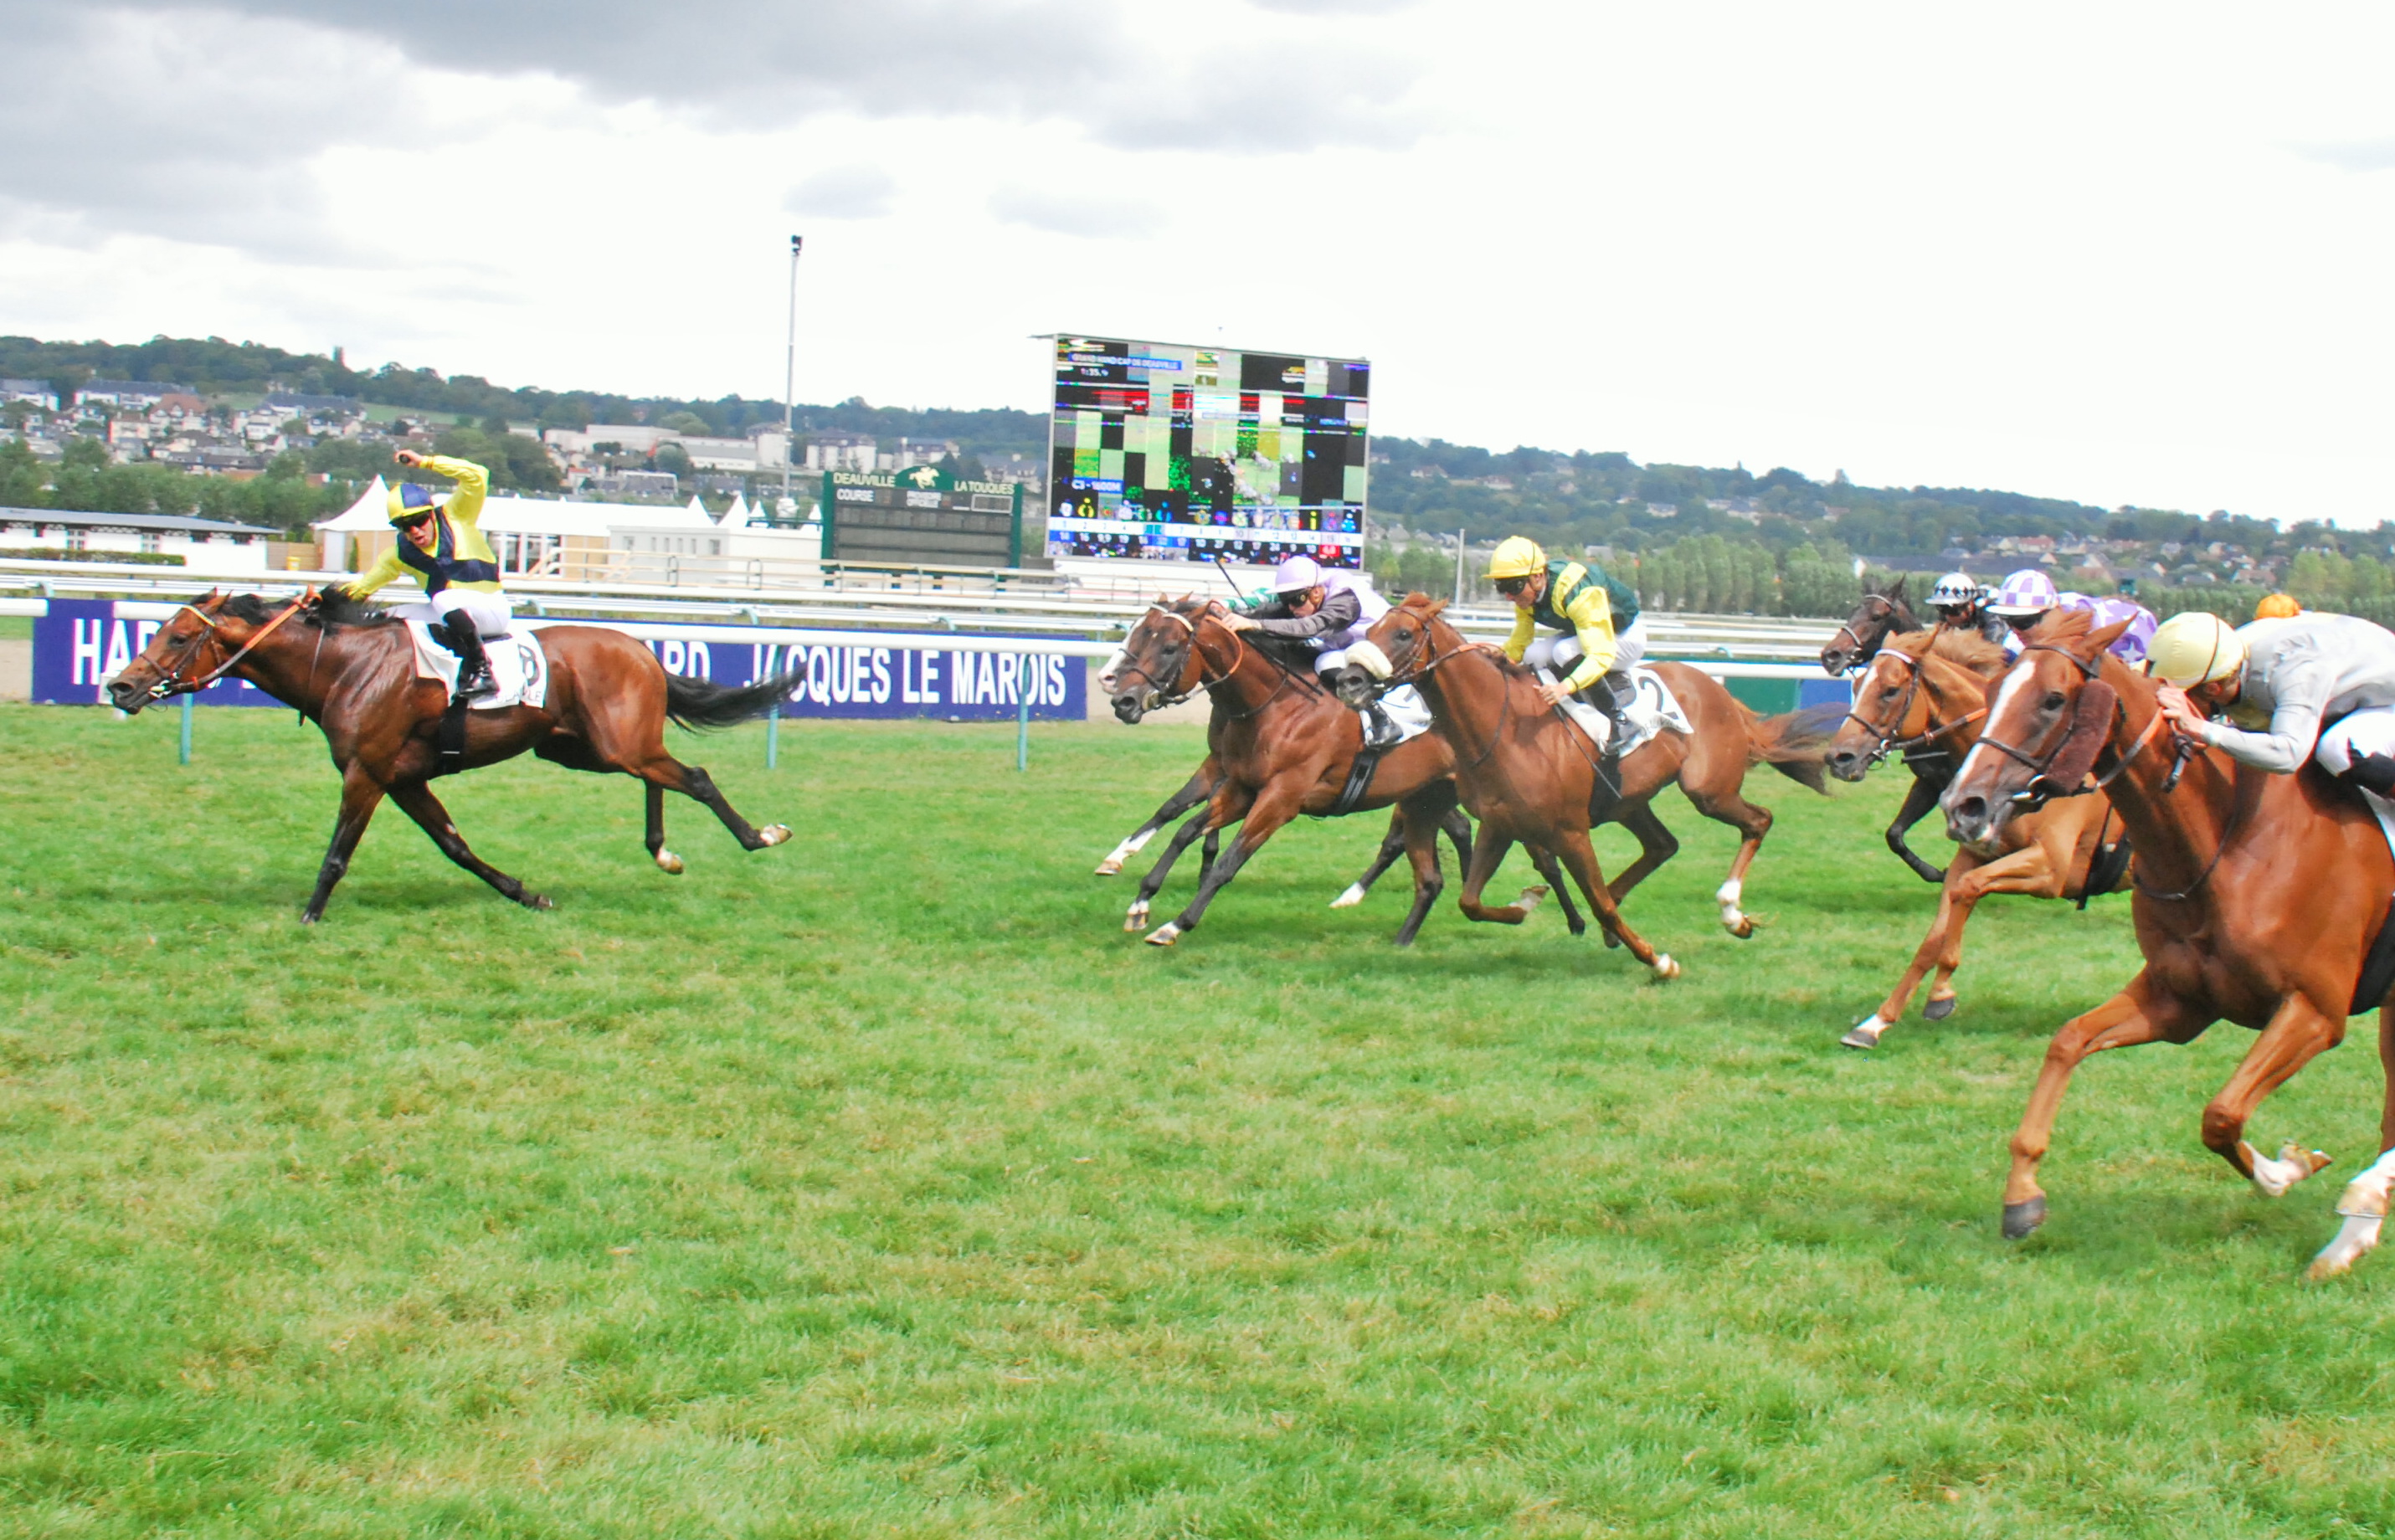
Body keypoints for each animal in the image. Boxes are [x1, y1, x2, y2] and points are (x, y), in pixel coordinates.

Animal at [110, 591, 794, 919]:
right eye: (159, 630)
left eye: (177, 636)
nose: (120, 686)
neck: (345, 667)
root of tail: (642, 649)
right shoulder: (405, 779)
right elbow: (456, 847)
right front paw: (525, 894)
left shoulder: (367, 772)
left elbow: (337, 854)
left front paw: (308, 915)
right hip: (583, 749)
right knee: (660, 774)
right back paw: (662, 851)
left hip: (614, 743)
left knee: (694, 776)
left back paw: (758, 834)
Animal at [1106, 603, 1523, 952]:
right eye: (1138, 636)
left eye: (1169, 648)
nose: (1121, 700)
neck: (1277, 705)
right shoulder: (1242, 787)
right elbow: (1184, 828)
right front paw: (1140, 900)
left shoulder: (1281, 799)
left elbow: (1229, 860)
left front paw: (1176, 924)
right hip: (1425, 797)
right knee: (1436, 857)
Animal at [1331, 596, 1829, 982]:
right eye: (1370, 629)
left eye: (1402, 635)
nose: (1349, 681)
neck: (1503, 727)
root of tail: (1717, 689)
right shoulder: (1501, 824)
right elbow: (1471, 901)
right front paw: (1526, 903)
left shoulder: (1570, 831)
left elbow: (1600, 903)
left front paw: (1658, 961)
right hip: (1628, 802)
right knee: (1662, 846)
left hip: (1709, 790)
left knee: (1758, 821)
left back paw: (1732, 913)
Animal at [1945, 603, 2395, 1264]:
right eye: (1993, 687)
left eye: (2053, 699)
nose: (1963, 805)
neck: (2224, 844)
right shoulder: (2179, 1000)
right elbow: (2067, 1041)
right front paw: (2022, 1196)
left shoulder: (2316, 1011)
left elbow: (2221, 1114)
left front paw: (2286, 1170)